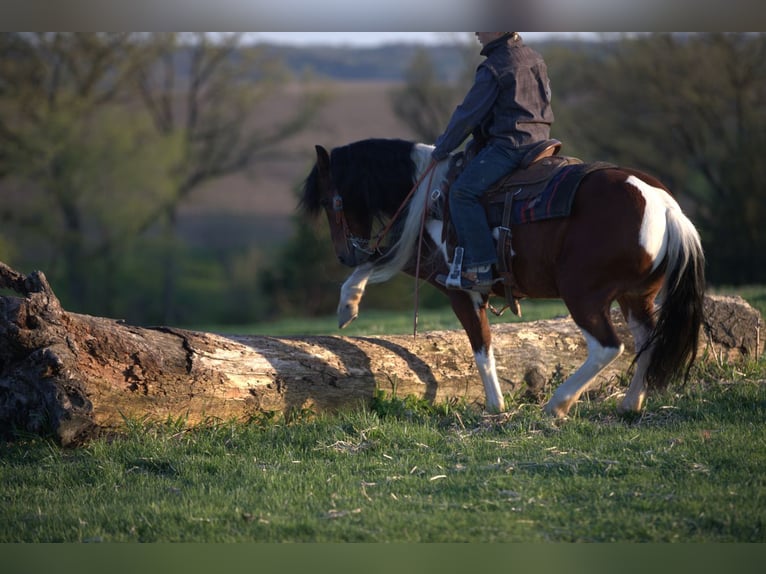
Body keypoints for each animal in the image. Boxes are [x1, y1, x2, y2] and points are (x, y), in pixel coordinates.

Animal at [300, 137, 706, 417]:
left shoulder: (458, 289)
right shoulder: (423, 259)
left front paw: (495, 406)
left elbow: (482, 348)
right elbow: (380, 260)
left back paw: (558, 404)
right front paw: (349, 302)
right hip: (636, 297)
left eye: (332, 201)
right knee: (647, 341)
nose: (344, 254)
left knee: (608, 346)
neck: (429, 194)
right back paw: (630, 404)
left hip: (583, 295)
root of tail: (665, 207)